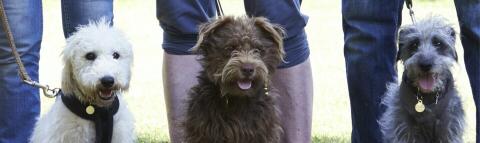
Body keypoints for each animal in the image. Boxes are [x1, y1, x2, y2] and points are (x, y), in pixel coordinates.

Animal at [378, 15, 464, 143]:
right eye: (414, 44)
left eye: (438, 43)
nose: (425, 64)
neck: (427, 98)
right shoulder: (403, 128)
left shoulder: (449, 127)